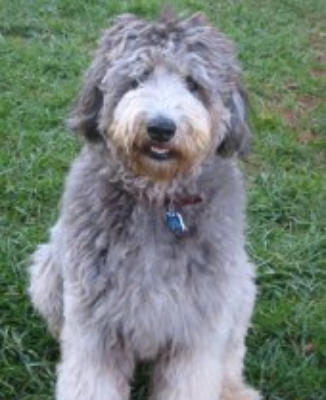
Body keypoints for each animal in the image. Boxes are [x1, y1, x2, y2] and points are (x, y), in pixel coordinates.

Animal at [29, 11, 262, 400]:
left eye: (193, 83)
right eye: (137, 78)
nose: (161, 128)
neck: (159, 200)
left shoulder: (198, 328)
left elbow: (196, 377)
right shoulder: (94, 325)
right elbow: (90, 380)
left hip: (241, 286)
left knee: (232, 353)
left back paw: (234, 389)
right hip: (48, 271)